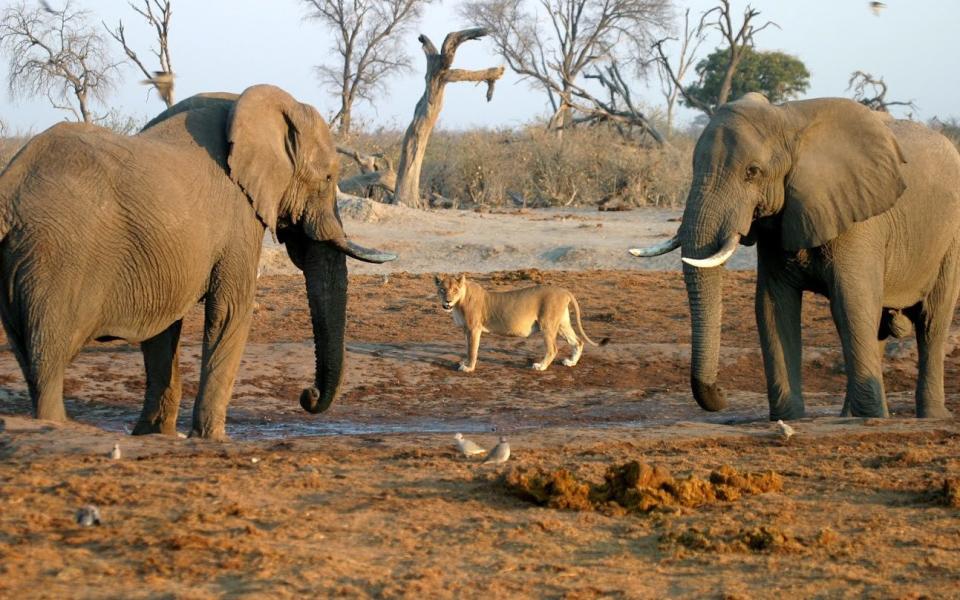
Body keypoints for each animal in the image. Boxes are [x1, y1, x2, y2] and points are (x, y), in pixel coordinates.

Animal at [0, 84, 394, 438]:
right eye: (328, 178)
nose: (307, 395)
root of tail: (9, 192)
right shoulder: (238, 217)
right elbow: (231, 310)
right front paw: (211, 439)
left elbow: (162, 328)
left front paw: (155, 435)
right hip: (56, 261)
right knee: (48, 361)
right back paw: (55, 425)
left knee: (29, 359)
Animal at [632, 95, 960, 422]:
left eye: (752, 172)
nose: (722, 396)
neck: (788, 120)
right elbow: (774, 306)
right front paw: (789, 419)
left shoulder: (859, 219)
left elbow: (852, 302)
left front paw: (872, 419)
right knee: (876, 326)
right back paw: (850, 416)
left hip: (951, 239)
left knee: (931, 322)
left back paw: (929, 417)